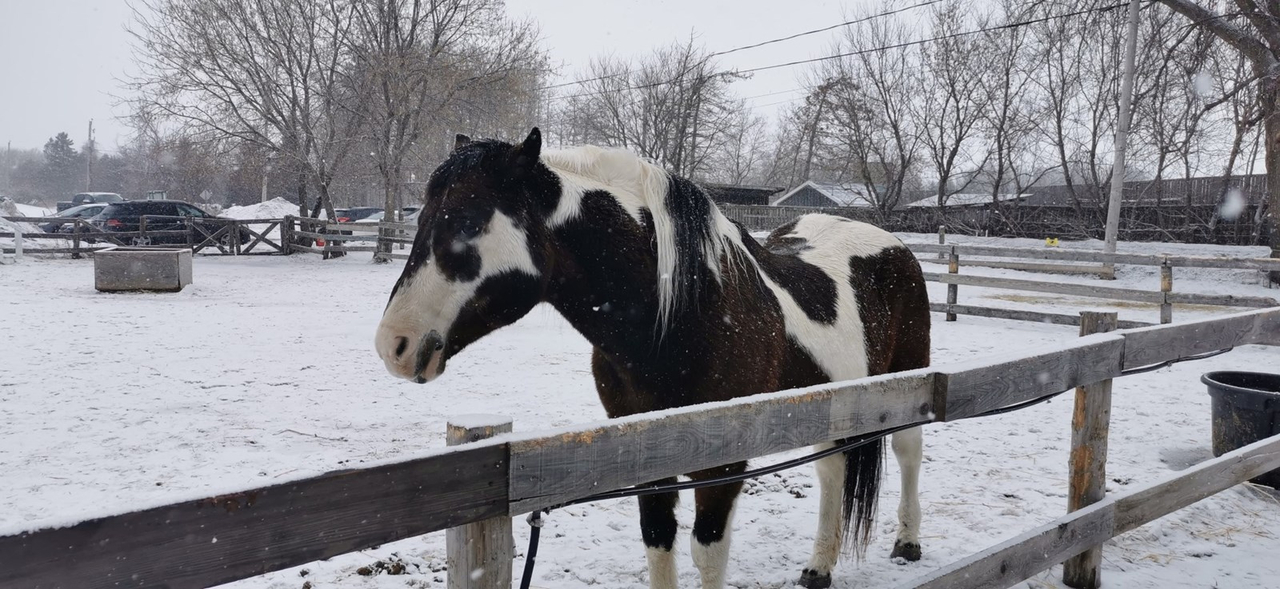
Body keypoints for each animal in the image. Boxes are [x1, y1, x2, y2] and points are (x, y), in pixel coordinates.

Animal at [375, 128, 931, 589]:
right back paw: (818, 568)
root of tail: (892, 244)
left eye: (469, 222)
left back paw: (907, 543)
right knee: (833, 470)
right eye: (421, 217)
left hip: (908, 383)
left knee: (907, 451)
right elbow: (658, 541)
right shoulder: (647, 451)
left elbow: (707, 552)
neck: (683, 315)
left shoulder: (721, 460)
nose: (393, 345)